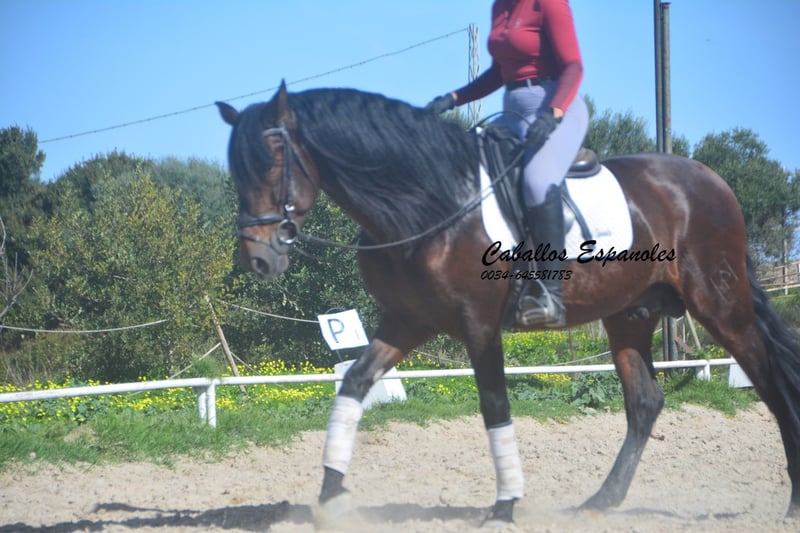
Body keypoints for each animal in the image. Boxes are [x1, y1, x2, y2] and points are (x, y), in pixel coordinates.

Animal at [216, 82, 800, 527]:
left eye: (271, 163)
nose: (257, 260)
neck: (430, 204)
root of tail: (710, 181)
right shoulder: (407, 321)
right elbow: (355, 383)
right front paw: (332, 495)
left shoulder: (479, 326)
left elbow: (495, 407)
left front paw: (504, 506)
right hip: (629, 315)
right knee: (644, 403)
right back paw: (600, 502)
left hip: (719, 305)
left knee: (771, 383)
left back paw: (792, 501)